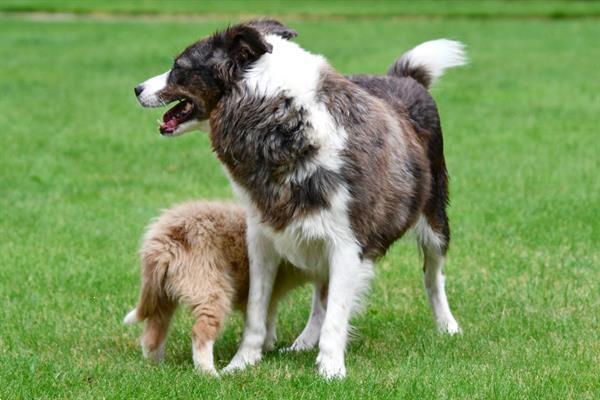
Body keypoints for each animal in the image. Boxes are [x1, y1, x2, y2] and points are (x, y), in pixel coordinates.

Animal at [123, 203, 310, 376]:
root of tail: (162, 242)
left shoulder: (268, 298)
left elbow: (267, 320)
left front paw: (267, 347)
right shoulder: (260, 295)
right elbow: (262, 321)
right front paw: (264, 347)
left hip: (162, 297)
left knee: (152, 334)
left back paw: (156, 366)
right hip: (211, 292)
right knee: (200, 333)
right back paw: (209, 374)